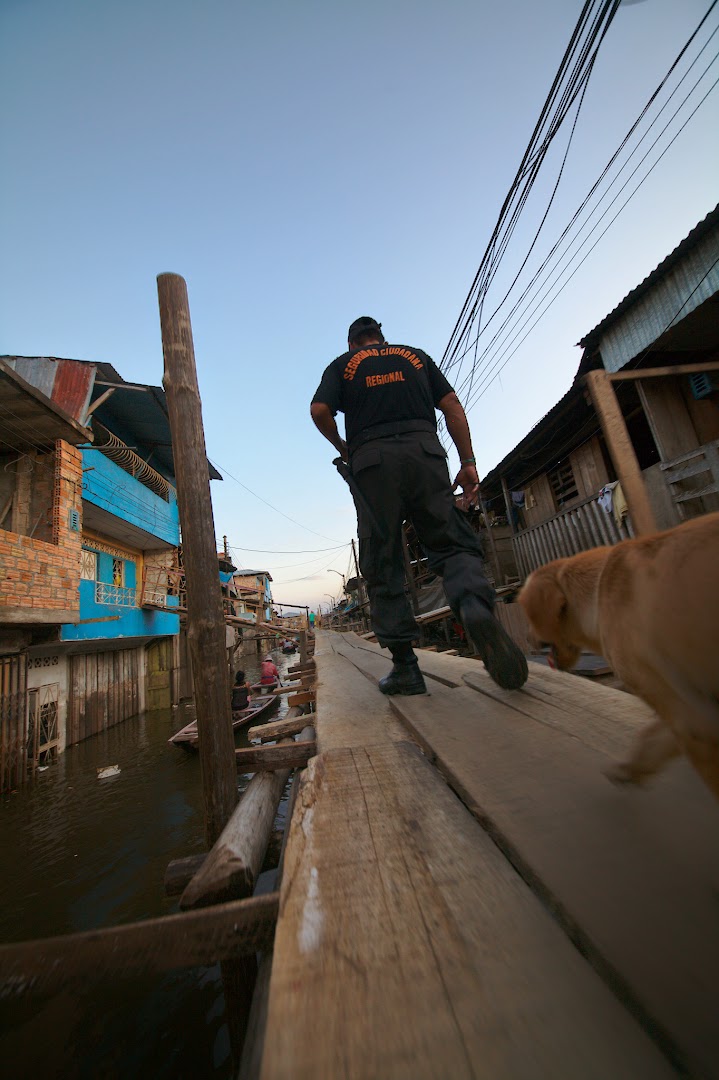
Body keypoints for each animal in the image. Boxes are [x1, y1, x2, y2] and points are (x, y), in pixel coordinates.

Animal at [516, 509, 716, 799]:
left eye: (528, 617)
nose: (526, 637)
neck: (598, 590)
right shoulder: (687, 708)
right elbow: (652, 737)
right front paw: (628, 768)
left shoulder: (689, 719)